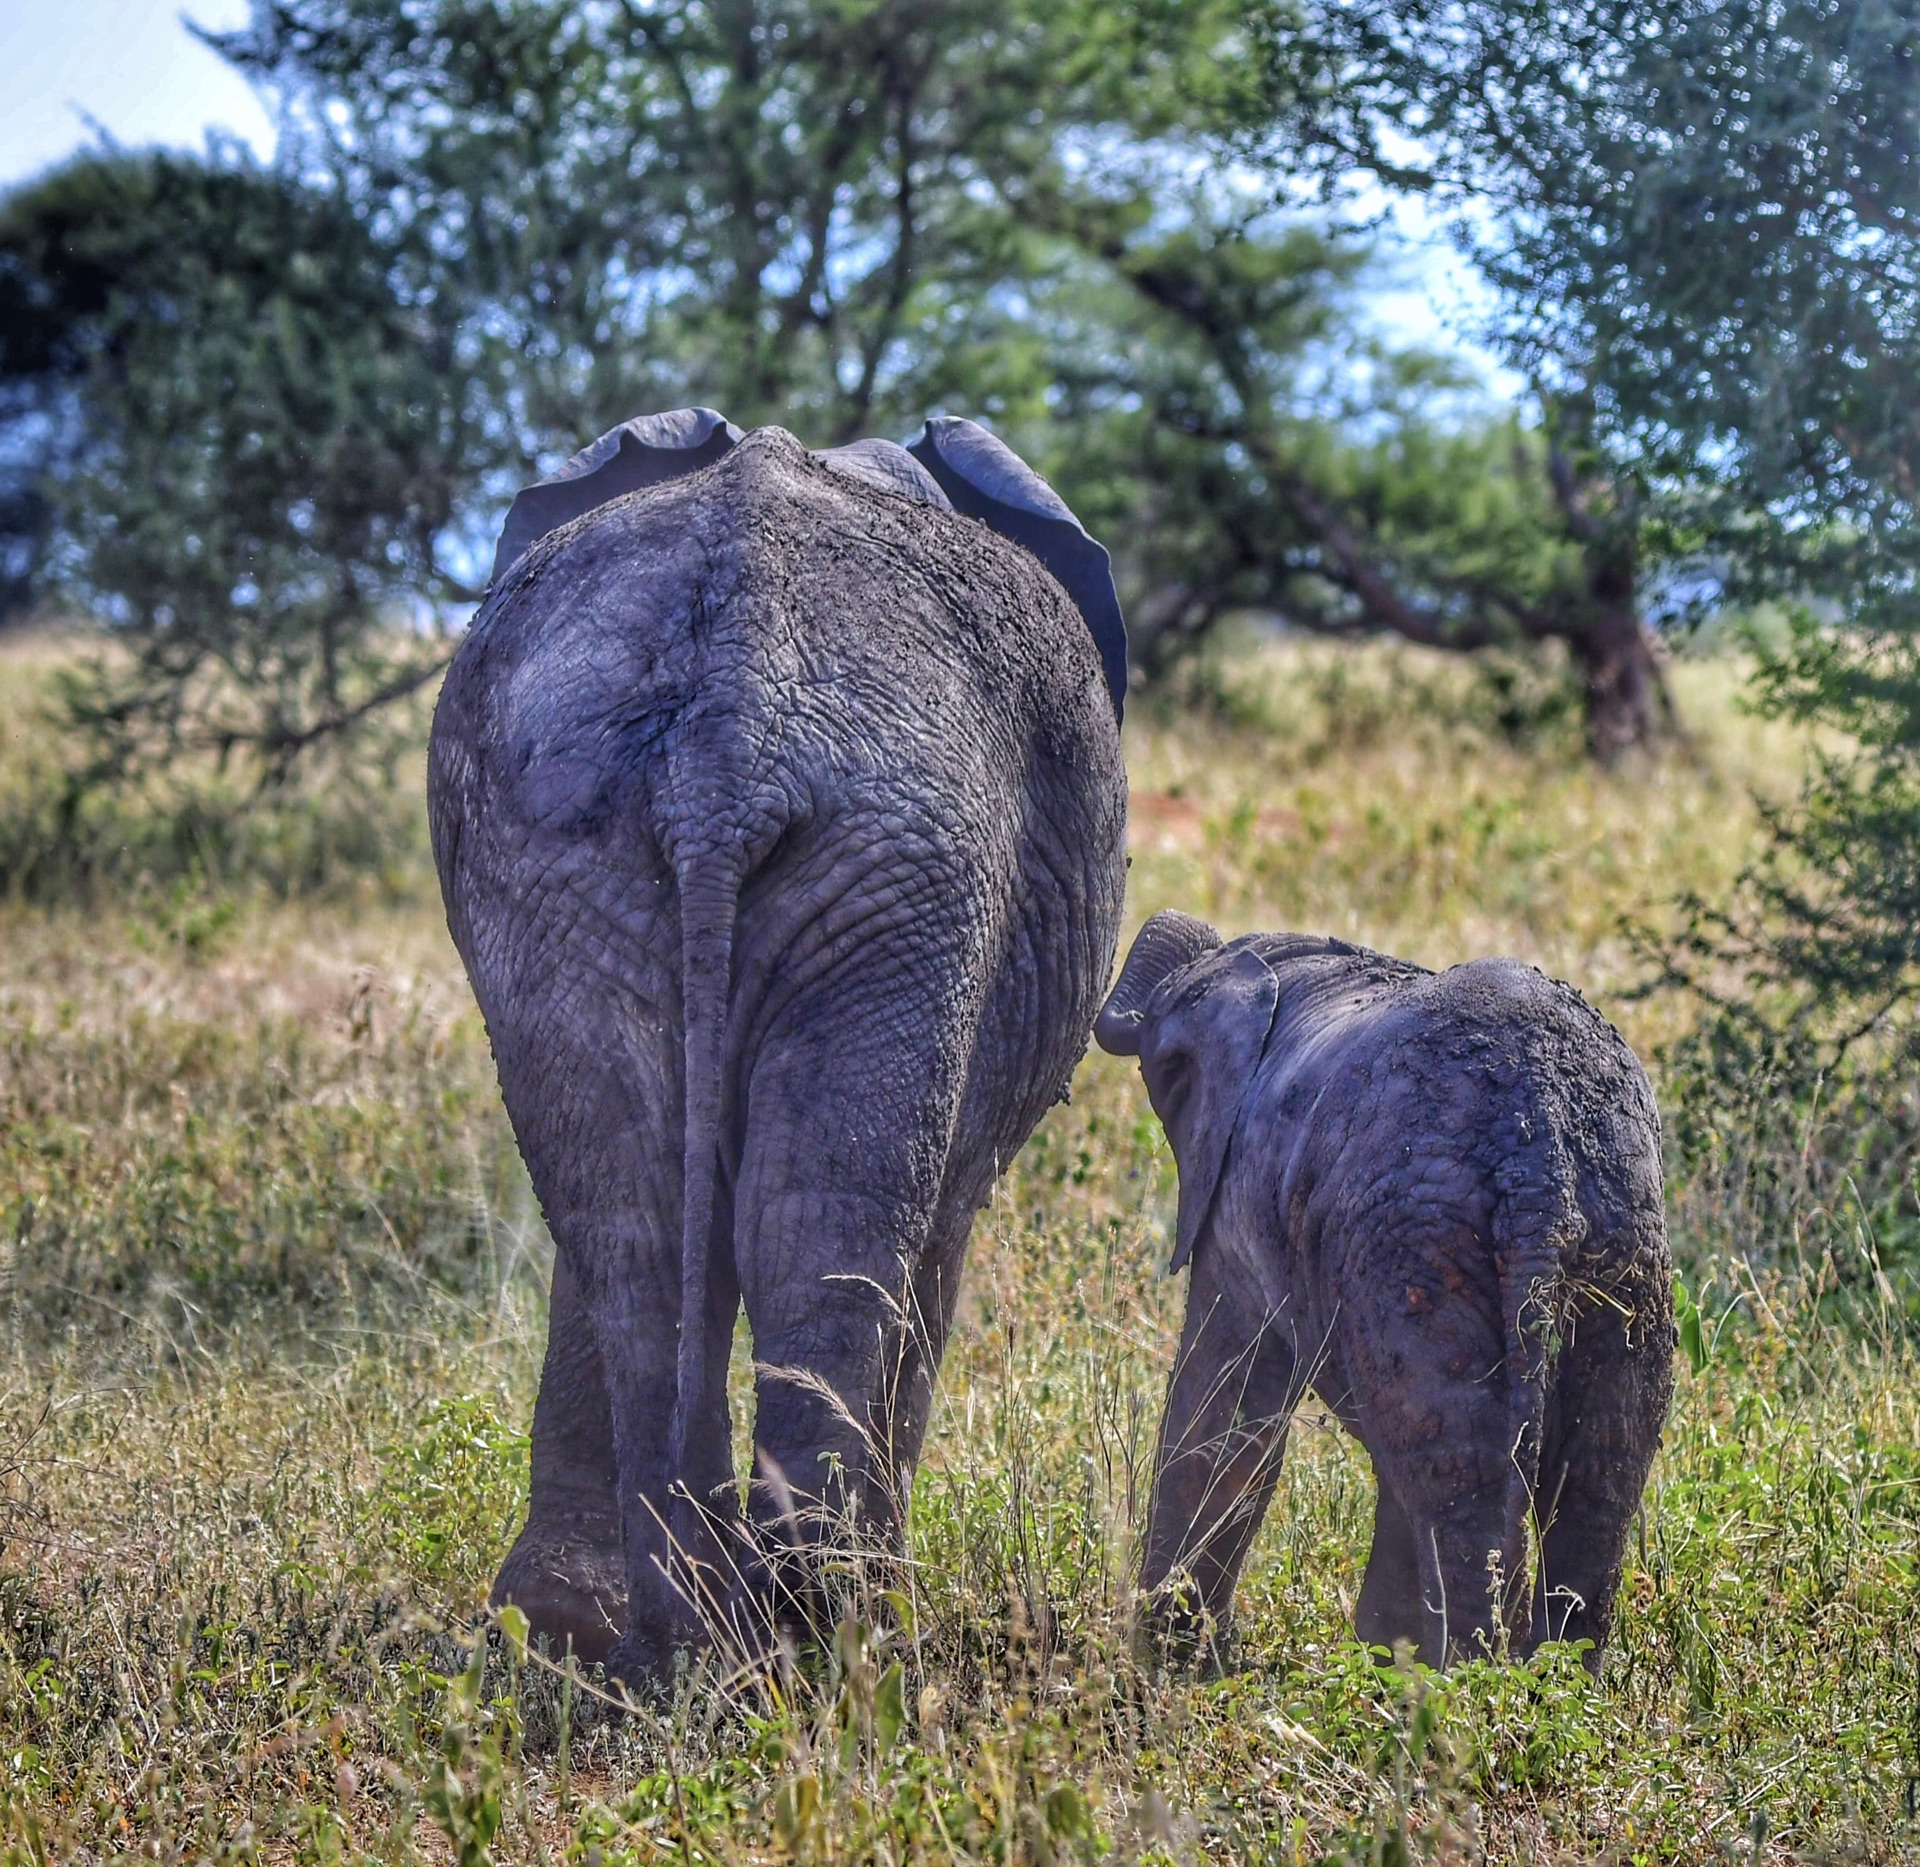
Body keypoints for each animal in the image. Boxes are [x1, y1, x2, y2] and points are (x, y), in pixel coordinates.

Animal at [428, 412, 1128, 1690]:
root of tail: (728, 735)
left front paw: (555, 1628)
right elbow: (942, 1230)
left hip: (562, 845)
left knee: (640, 1224)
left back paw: (684, 1647)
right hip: (906, 857)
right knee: (834, 1216)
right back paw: (836, 1634)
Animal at [1105, 910, 1674, 1667]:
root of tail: (1537, 1155)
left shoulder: (1235, 1200)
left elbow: (1225, 1409)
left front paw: (1169, 1667)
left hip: (1416, 1245)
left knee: (1453, 1468)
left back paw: (1462, 1687)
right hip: (1623, 1247)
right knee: (1594, 1472)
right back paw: (1540, 1679)